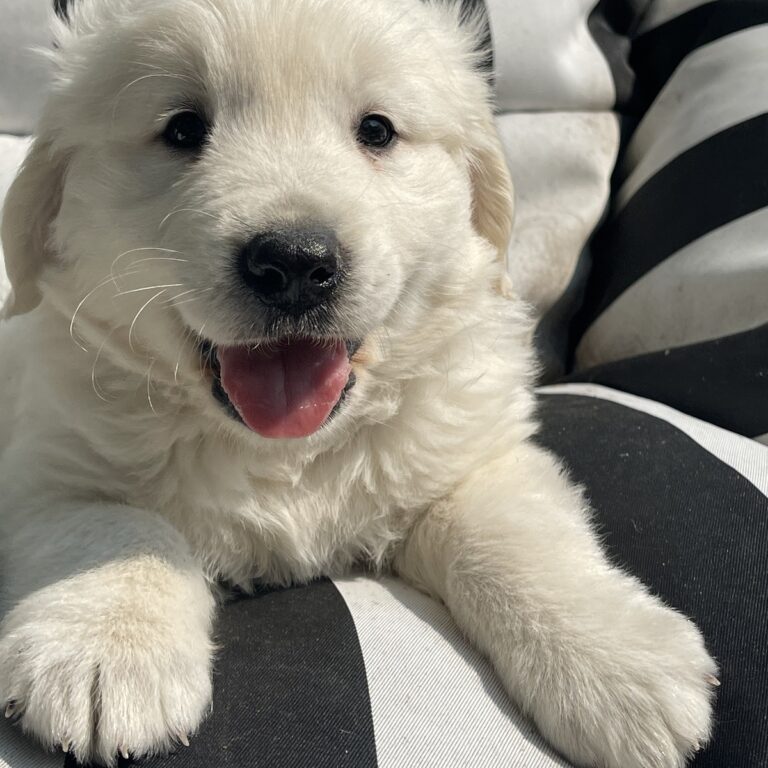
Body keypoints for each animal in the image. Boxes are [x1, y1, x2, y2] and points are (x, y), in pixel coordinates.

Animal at [1, 0, 720, 764]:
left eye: (376, 130)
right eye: (183, 129)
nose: (293, 262)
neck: (287, 452)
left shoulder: (475, 455)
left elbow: (511, 537)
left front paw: (618, 667)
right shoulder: (46, 466)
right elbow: (119, 523)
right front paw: (102, 649)